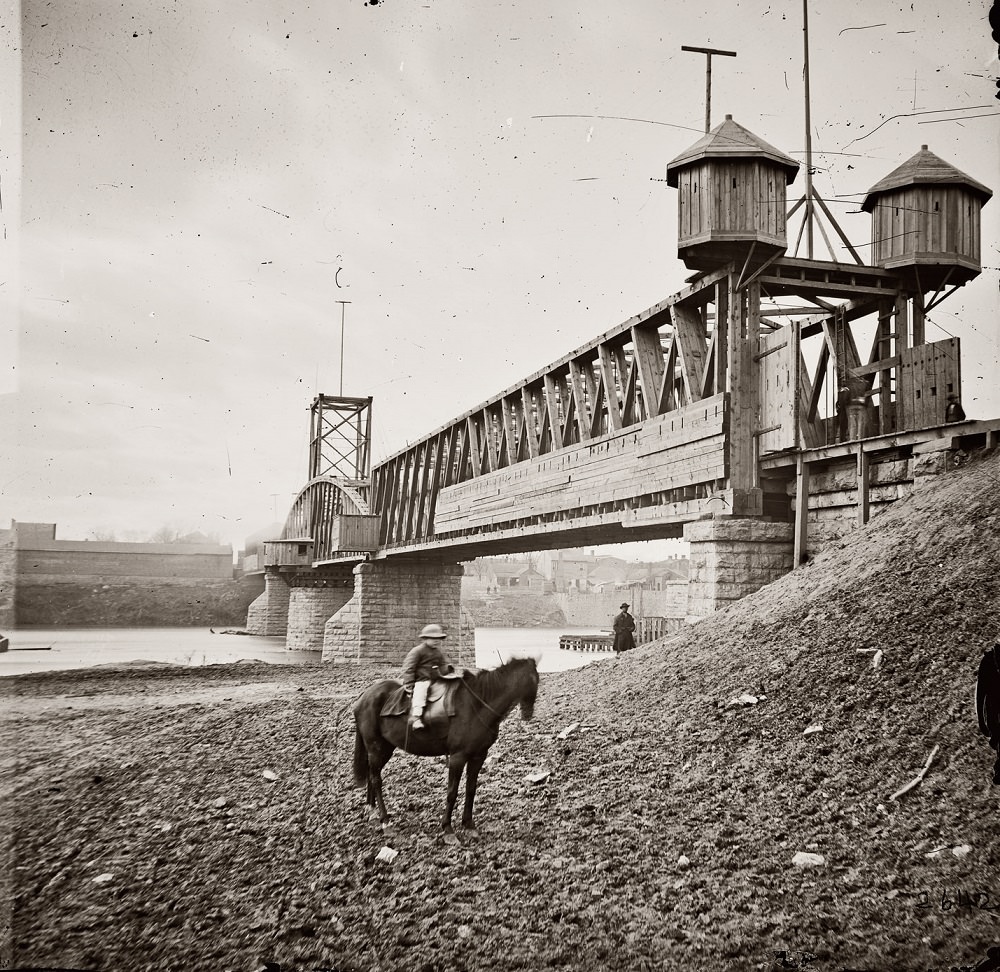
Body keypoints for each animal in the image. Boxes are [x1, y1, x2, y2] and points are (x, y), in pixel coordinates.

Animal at [352, 652, 540, 836]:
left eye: (537, 679)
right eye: (532, 680)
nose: (528, 713)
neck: (477, 704)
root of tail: (364, 696)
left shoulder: (478, 756)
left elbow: (471, 789)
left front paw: (468, 824)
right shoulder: (458, 757)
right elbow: (452, 792)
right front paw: (447, 827)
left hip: (385, 748)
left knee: (371, 774)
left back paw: (372, 811)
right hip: (376, 748)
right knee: (376, 779)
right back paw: (385, 820)